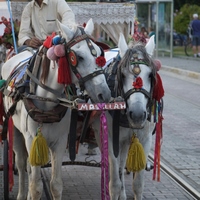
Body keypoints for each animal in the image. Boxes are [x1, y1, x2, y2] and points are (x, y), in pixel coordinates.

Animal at [1, 18, 111, 198]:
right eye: (78, 57)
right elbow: (36, 186)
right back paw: (22, 194)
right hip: (14, 130)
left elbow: (56, 185)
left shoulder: (59, 142)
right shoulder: (31, 140)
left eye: (100, 53)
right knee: (22, 165)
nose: (105, 94)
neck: (46, 101)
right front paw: (31, 193)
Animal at [90, 33, 159, 199]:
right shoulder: (110, 138)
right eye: (122, 74)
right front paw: (116, 190)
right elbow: (114, 183)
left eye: (150, 75)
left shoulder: (144, 140)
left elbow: (138, 185)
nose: (138, 114)